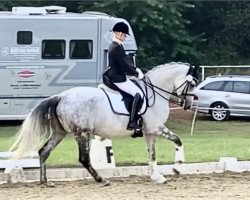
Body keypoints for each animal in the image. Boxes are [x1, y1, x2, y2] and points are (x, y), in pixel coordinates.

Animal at [9, 62, 197, 186]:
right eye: (192, 84)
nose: (188, 105)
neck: (154, 93)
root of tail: (61, 96)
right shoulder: (157, 128)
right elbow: (178, 140)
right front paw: (177, 167)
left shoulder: (150, 132)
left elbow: (152, 155)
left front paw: (157, 177)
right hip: (82, 133)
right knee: (84, 158)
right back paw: (102, 179)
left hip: (59, 133)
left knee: (44, 151)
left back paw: (45, 181)